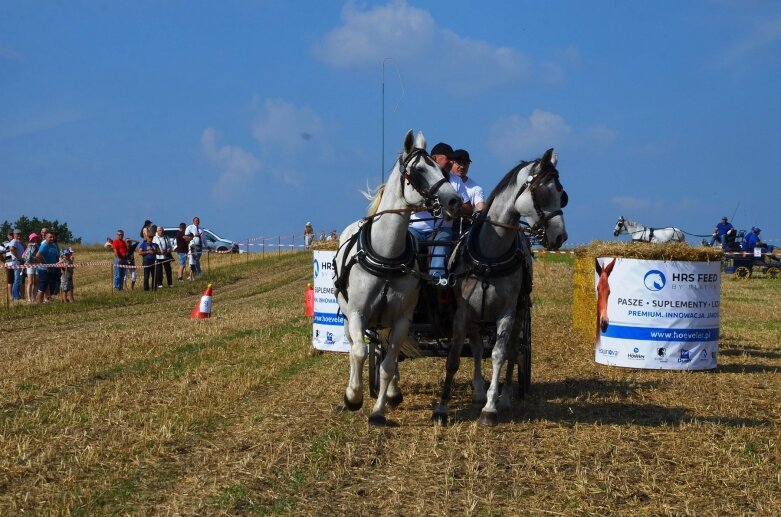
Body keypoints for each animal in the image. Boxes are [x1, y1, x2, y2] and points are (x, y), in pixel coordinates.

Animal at [336, 128, 464, 424]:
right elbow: (359, 352)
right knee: (354, 349)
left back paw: (393, 392)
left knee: (387, 353)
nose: (454, 201)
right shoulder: (358, 313)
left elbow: (388, 363)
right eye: (418, 171)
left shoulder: (403, 319)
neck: (387, 254)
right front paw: (353, 397)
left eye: (441, 169)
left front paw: (379, 411)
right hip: (348, 316)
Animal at [432, 147, 568, 426]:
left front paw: (490, 408)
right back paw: (478, 391)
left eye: (562, 194)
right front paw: (442, 408)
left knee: (514, 353)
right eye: (542, 191)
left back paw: (504, 397)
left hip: (520, 313)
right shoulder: (462, 313)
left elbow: (498, 354)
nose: (560, 237)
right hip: (477, 318)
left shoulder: (507, 312)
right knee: (475, 347)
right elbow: (453, 358)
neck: (489, 256)